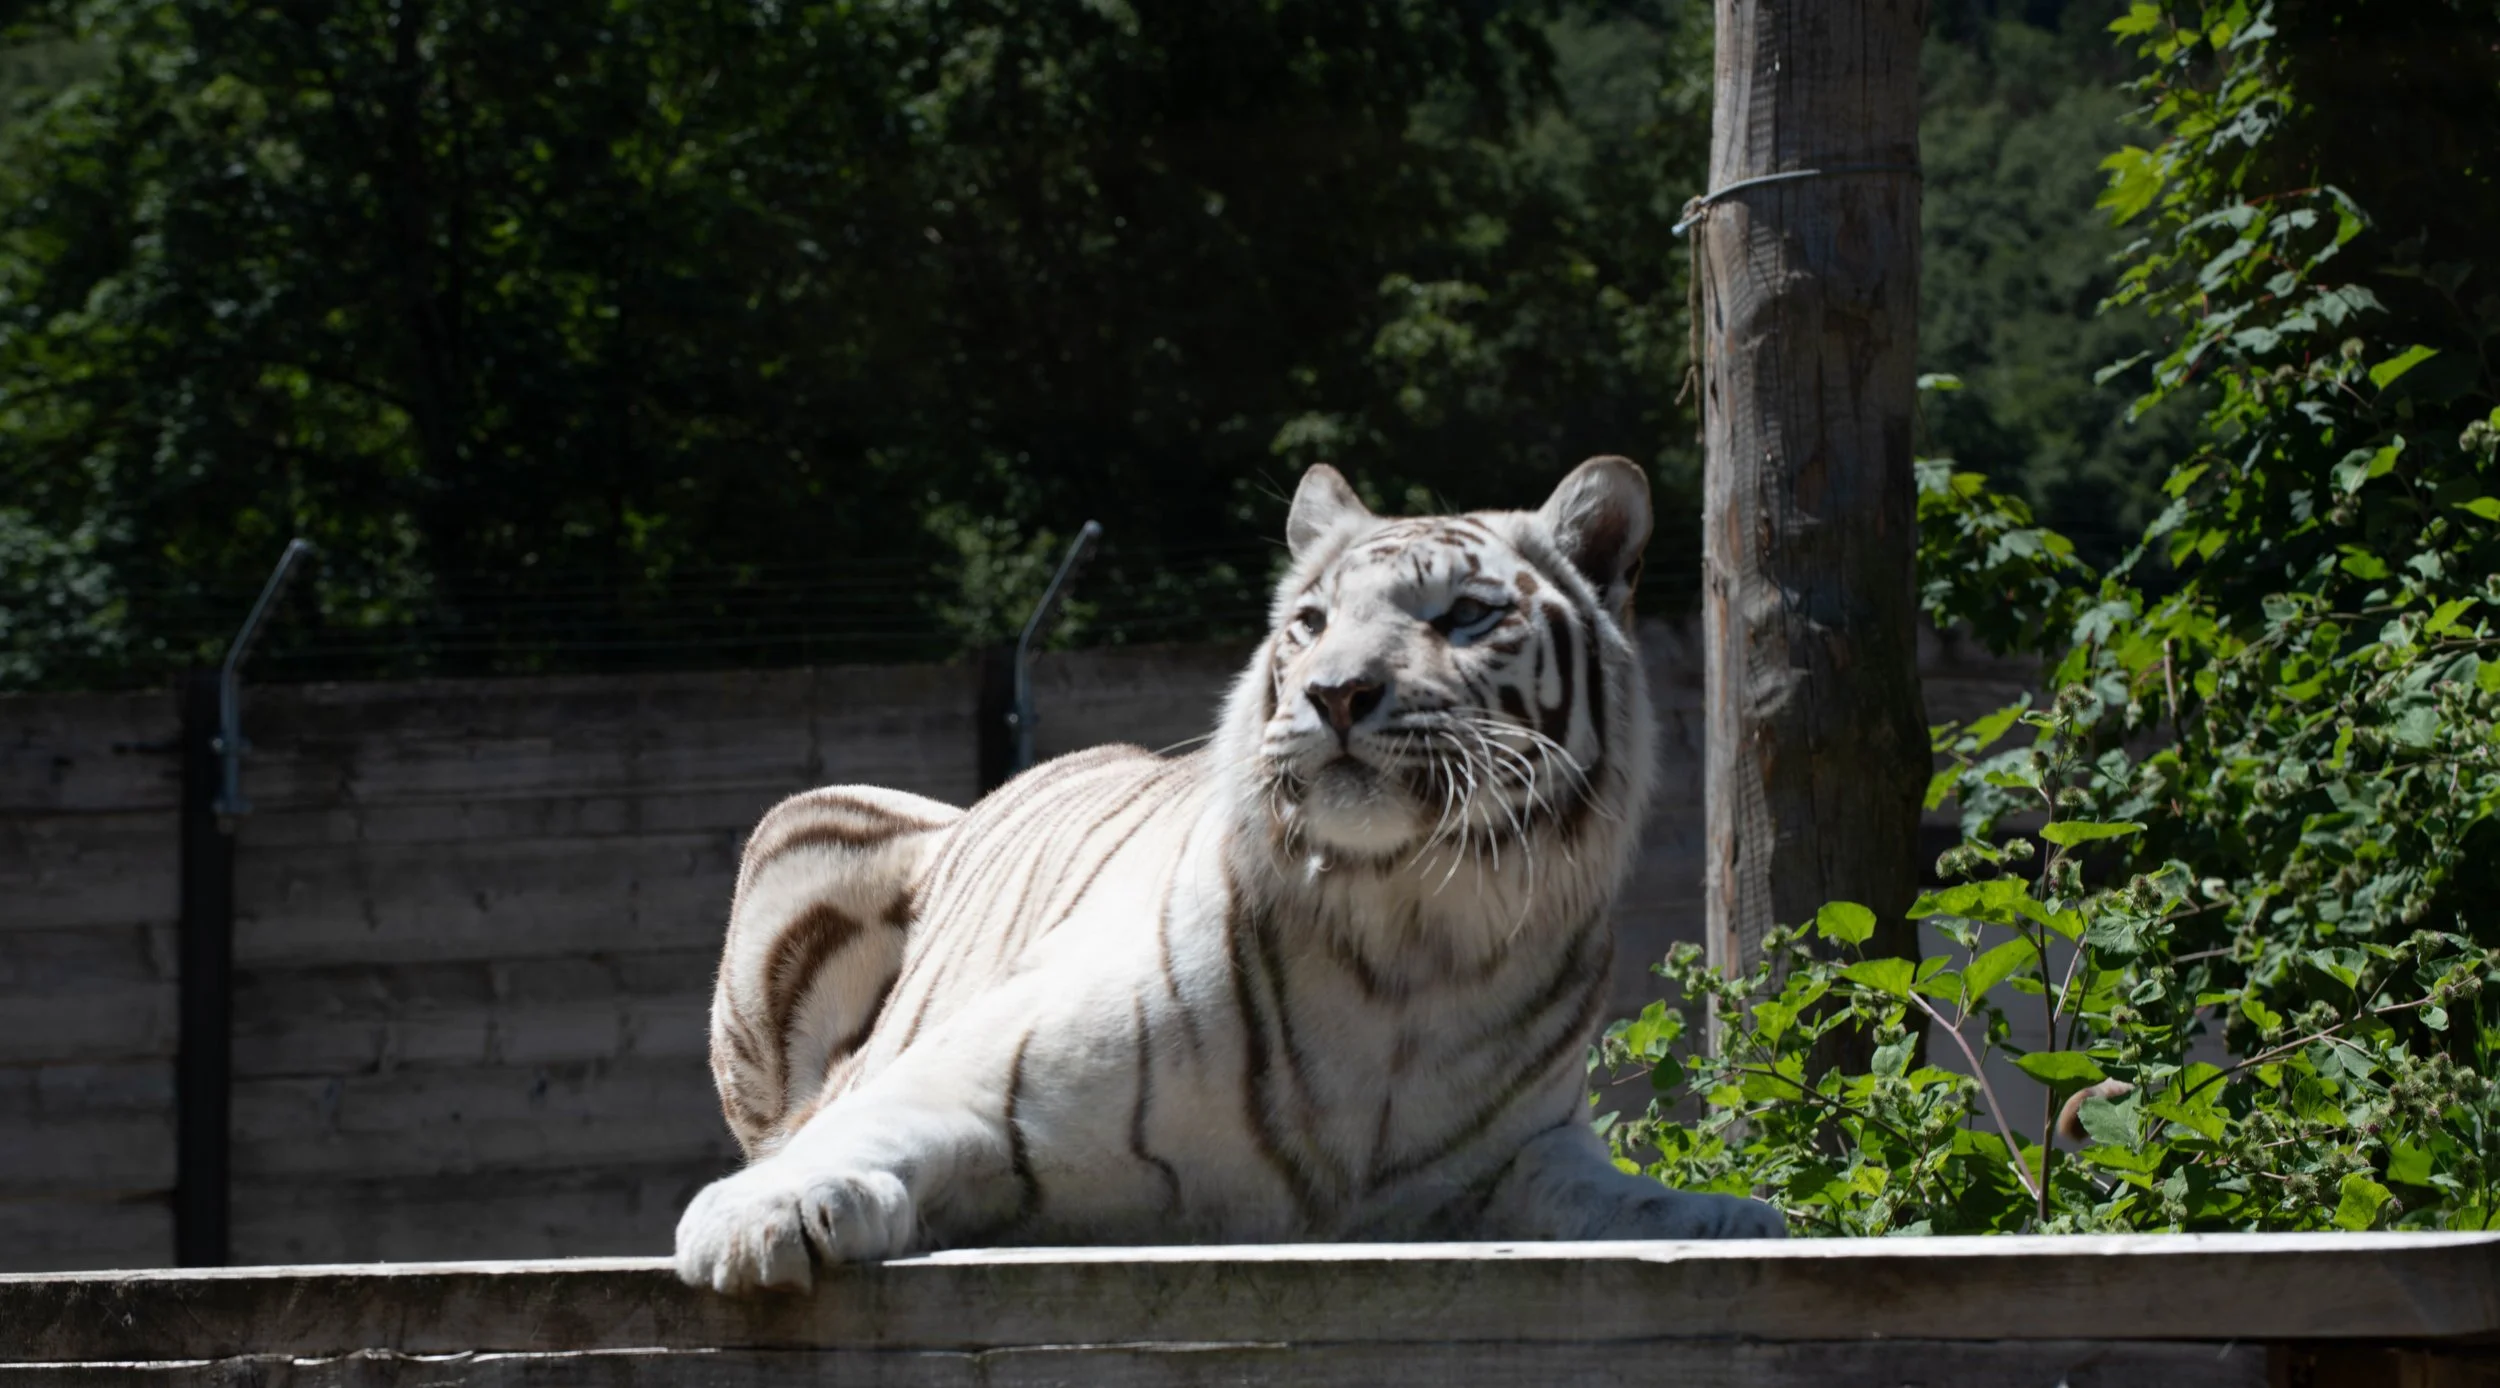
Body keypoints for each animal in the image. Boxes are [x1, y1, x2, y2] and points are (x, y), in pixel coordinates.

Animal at [674, 457, 1784, 1293]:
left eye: (1466, 616)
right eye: (1310, 622)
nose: (1336, 693)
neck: (1411, 934)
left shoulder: (1532, 1145)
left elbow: (1618, 1192)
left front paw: (1732, 1215)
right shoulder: (965, 1073)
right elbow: (855, 1133)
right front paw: (764, 1217)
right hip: (810, 826)